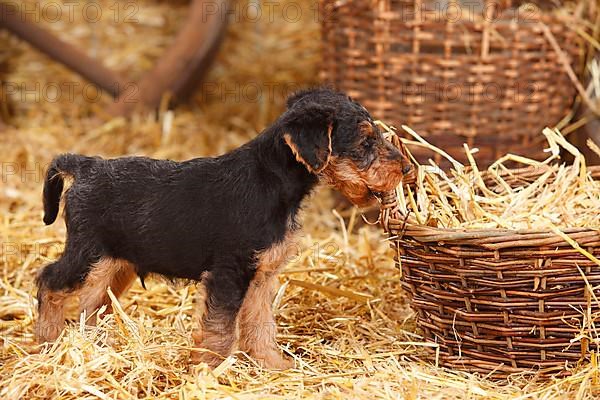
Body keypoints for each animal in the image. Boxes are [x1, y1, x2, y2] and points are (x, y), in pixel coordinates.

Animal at [35, 87, 414, 368]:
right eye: (365, 142)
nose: (407, 168)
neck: (272, 178)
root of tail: (85, 166)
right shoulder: (230, 272)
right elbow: (221, 329)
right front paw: (208, 369)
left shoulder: (261, 276)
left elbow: (260, 325)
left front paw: (273, 364)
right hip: (87, 255)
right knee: (48, 282)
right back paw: (47, 341)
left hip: (116, 264)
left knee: (92, 303)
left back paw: (93, 345)